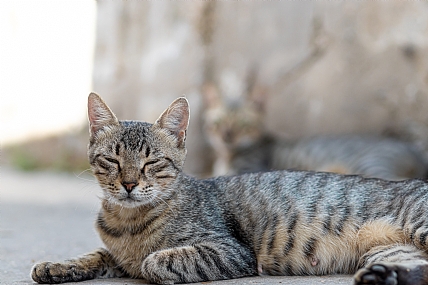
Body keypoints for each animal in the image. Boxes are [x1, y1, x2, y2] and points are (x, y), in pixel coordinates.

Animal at [32, 92, 428, 282]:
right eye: (112, 160)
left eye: (152, 162)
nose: (129, 184)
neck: (127, 222)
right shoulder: (115, 252)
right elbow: (97, 254)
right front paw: (56, 266)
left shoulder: (231, 250)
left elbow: (154, 260)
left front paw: (149, 262)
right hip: (391, 250)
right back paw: (383, 278)